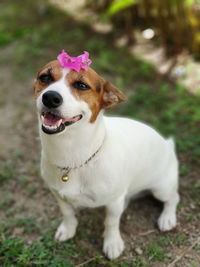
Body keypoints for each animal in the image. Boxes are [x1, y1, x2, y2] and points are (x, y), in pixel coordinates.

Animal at [33, 51, 179, 260]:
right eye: (45, 77)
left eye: (81, 85)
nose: (50, 97)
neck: (73, 155)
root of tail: (168, 145)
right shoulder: (58, 194)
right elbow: (67, 213)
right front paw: (68, 229)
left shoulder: (113, 202)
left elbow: (111, 223)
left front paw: (112, 243)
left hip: (161, 188)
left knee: (173, 198)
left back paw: (167, 217)